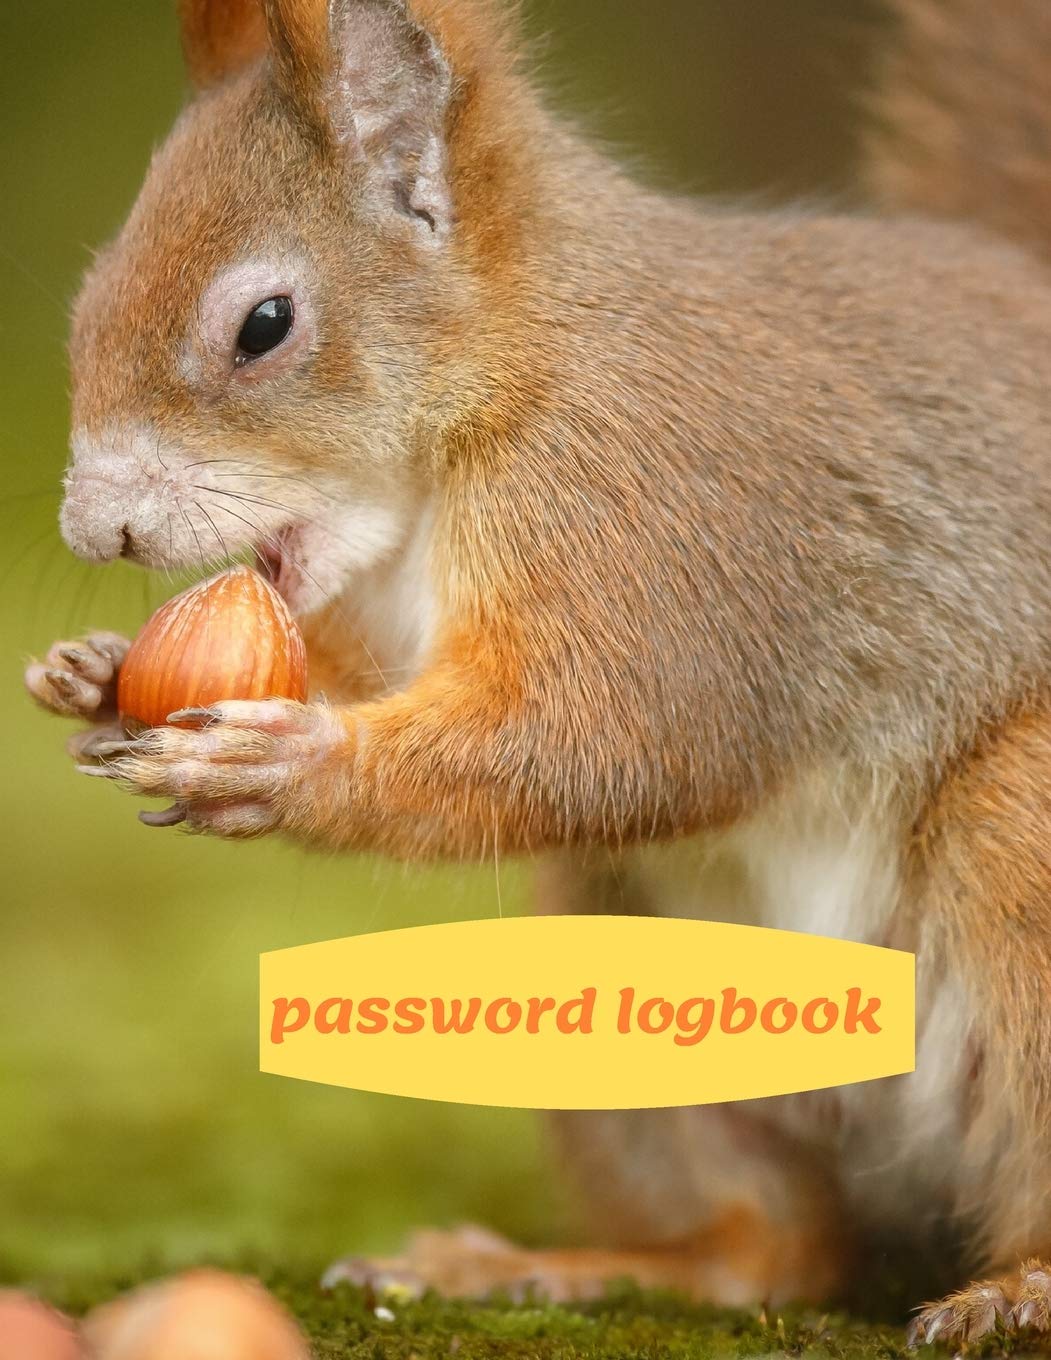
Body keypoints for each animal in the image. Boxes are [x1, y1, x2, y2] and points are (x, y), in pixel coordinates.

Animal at [22, 0, 1051, 1339]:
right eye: (90, 299)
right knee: (774, 1254)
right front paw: (93, 676)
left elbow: (613, 730)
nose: (95, 532)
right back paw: (551, 1267)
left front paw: (284, 765)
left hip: (1019, 839)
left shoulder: (656, 511)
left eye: (264, 326)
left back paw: (1017, 1287)